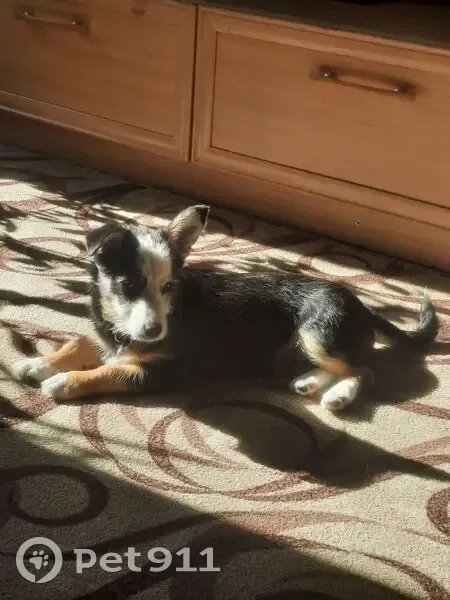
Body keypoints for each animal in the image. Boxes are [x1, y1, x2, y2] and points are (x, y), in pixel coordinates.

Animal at [13, 205, 438, 411]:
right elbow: (81, 341)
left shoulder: (166, 370)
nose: (154, 332)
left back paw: (339, 396)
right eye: (128, 285)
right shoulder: (110, 332)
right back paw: (310, 382)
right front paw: (39, 363)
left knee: (364, 369)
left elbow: (112, 370)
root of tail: (364, 307)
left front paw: (65, 380)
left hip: (318, 330)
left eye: (169, 287)